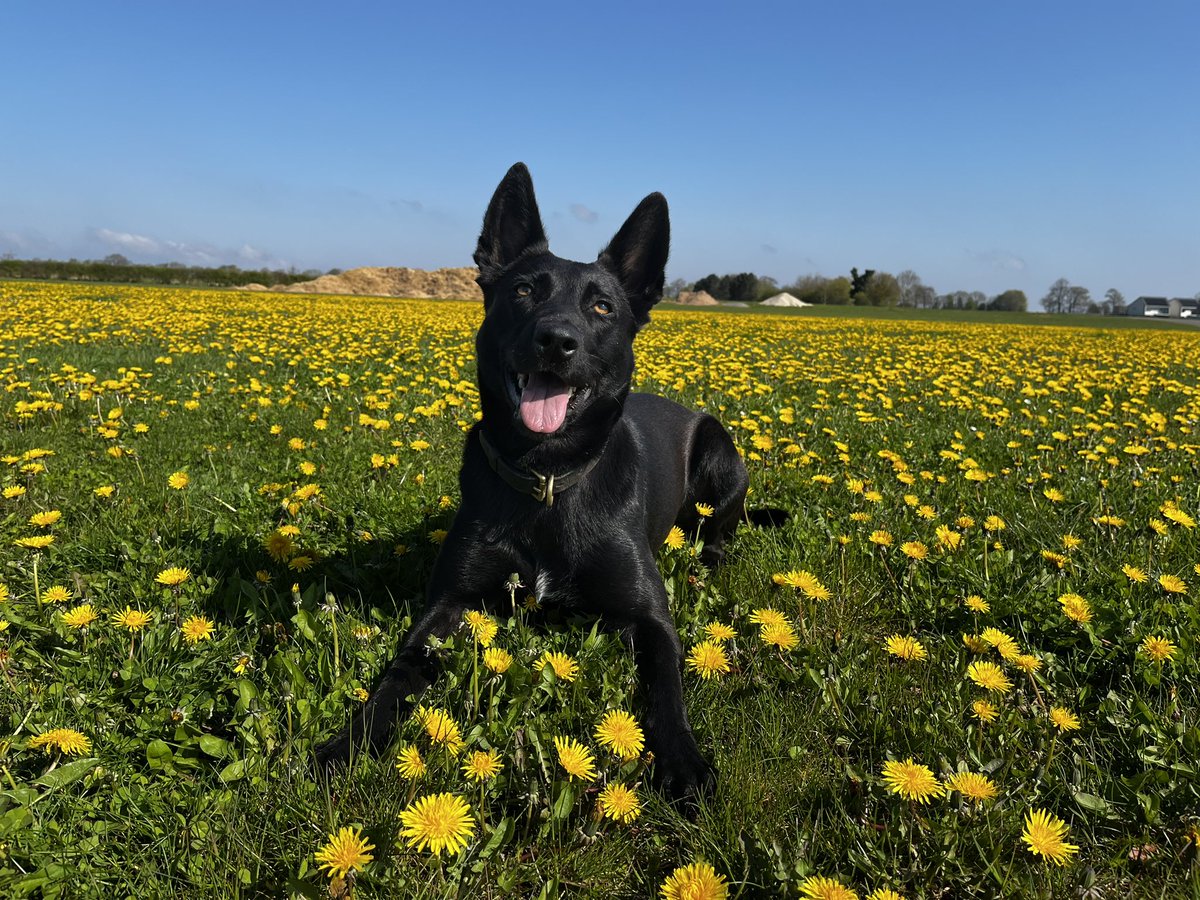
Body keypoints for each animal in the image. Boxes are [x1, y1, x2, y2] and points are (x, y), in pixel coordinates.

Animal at [319, 162, 748, 801]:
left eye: (602, 307)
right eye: (523, 291)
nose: (556, 341)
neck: (548, 477)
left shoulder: (651, 621)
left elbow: (667, 689)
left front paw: (683, 760)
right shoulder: (450, 605)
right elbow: (400, 670)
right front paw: (351, 739)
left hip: (721, 452)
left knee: (719, 529)